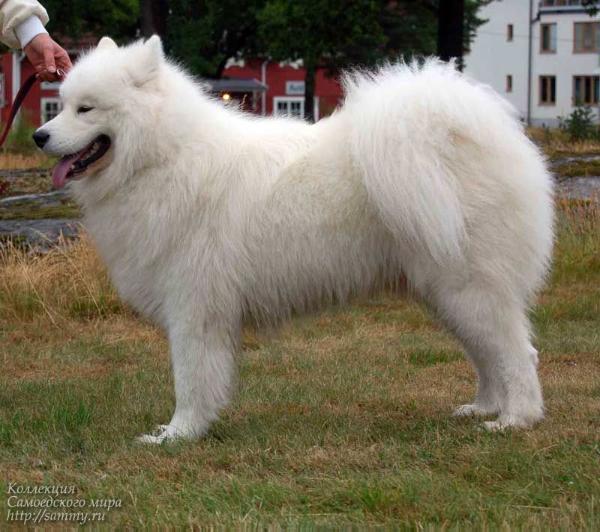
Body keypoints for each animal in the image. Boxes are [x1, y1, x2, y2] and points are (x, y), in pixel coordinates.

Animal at [32, 37, 552, 442]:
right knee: (487, 356)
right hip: (445, 293)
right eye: (61, 103)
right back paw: (483, 407)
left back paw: (515, 420)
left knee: (517, 354)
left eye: (86, 109)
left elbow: (192, 380)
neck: (163, 155)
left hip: (468, 287)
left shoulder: (194, 308)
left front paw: (178, 434)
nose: (38, 135)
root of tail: (471, 132)